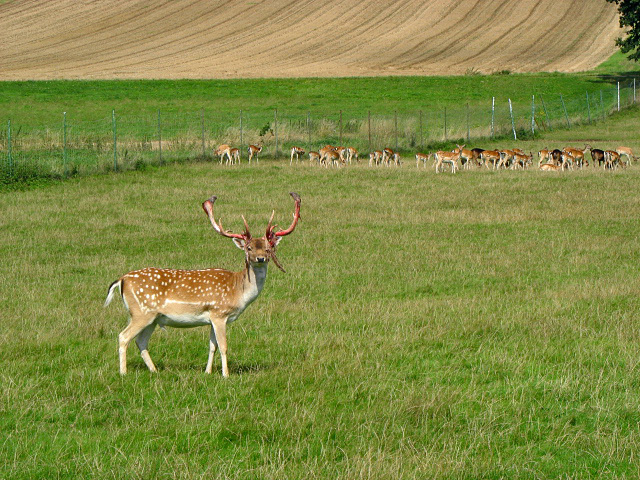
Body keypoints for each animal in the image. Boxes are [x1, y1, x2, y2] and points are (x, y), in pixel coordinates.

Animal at [105, 193, 302, 376]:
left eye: (269, 248)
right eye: (249, 248)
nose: (260, 258)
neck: (238, 291)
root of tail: (122, 279)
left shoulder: (211, 318)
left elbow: (212, 346)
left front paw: (208, 372)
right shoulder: (219, 313)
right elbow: (223, 346)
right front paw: (225, 375)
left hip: (153, 317)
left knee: (141, 341)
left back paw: (154, 371)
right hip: (141, 312)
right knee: (123, 336)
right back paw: (123, 372)